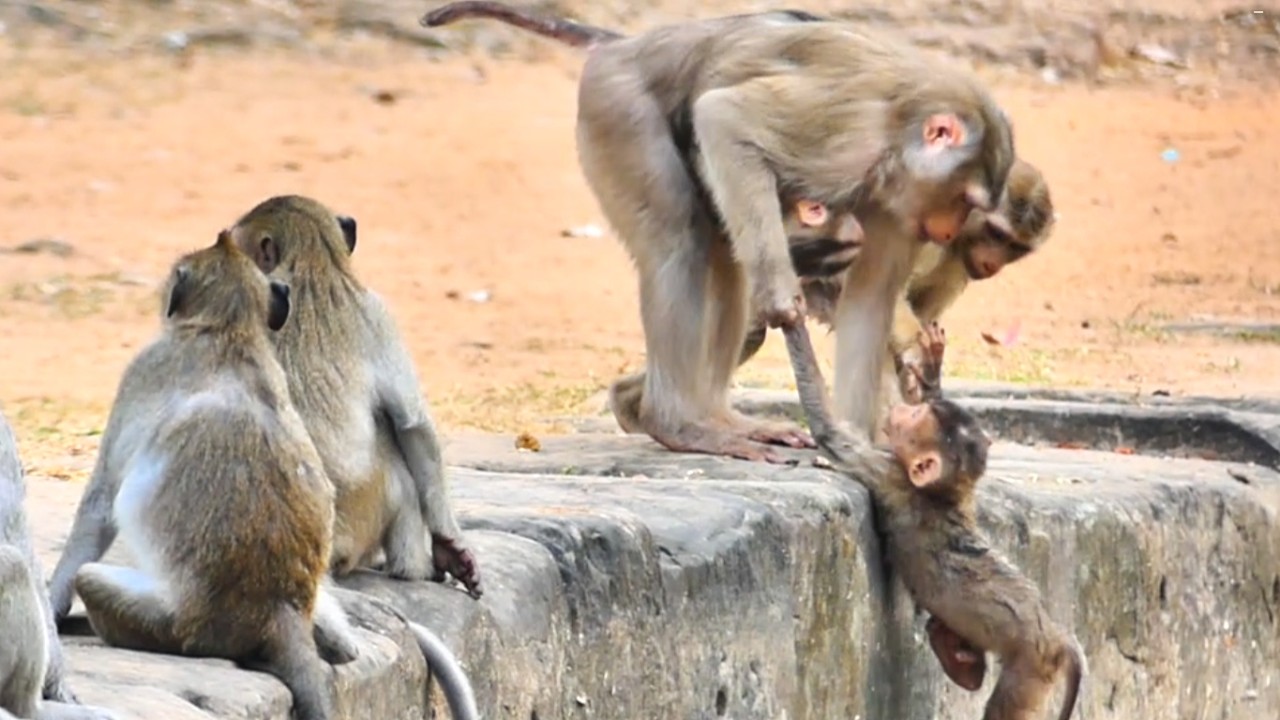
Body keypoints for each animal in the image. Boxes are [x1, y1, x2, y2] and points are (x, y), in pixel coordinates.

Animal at [47, 233, 361, 720]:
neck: (228, 329)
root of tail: (279, 610)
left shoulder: (144, 368)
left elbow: (101, 502)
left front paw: (52, 607)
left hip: (178, 625)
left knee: (92, 577)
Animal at [424, 2, 1016, 460]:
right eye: (966, 200)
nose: (947, 232)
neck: (899, 138)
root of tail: (628, 44)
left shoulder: (898, 209)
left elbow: (869, 303)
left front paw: (864, 441)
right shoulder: (849, 139)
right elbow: (726, 118)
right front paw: (785, 306)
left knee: (726, 259)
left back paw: (720, 419)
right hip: (618, 112)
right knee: (679, 242)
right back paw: (679, 425)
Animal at [780, 319, 1086, 720]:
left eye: (913, 420)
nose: (900, 411)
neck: (947, 494)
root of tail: (1055, 634)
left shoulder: (889, 473)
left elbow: (830, 432)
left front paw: (791, 319)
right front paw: (930, 370)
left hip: (1031, 667)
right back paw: (959, 658)